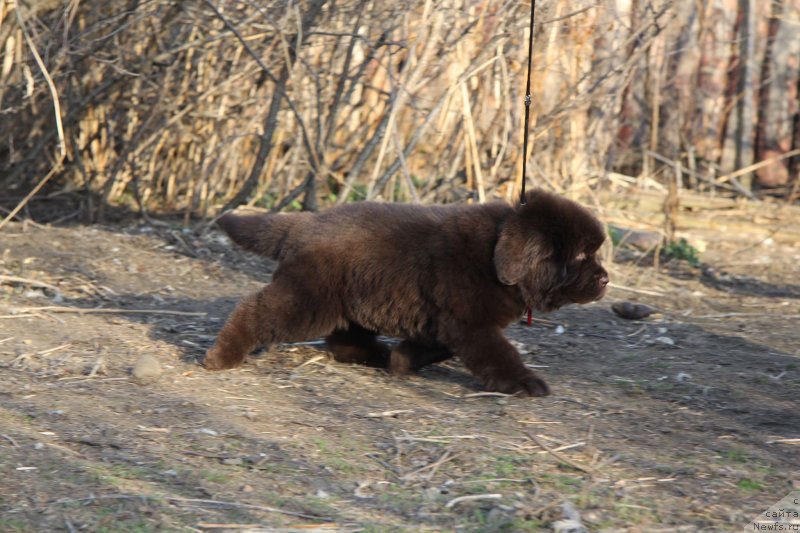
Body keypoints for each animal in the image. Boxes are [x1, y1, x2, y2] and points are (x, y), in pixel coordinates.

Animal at [205, 188, 608, 394]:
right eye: (581, 255)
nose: (605, 280)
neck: (497, 255)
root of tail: (305, 224)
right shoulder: (469, 323)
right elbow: (499, 353)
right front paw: (525, 382)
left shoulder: (449, 321)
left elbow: (436, 345)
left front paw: (402, 360)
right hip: (310, 298)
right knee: (256, 309)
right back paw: (222, 356)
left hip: (354, 296)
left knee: (344, 338)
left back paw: (378, 355)